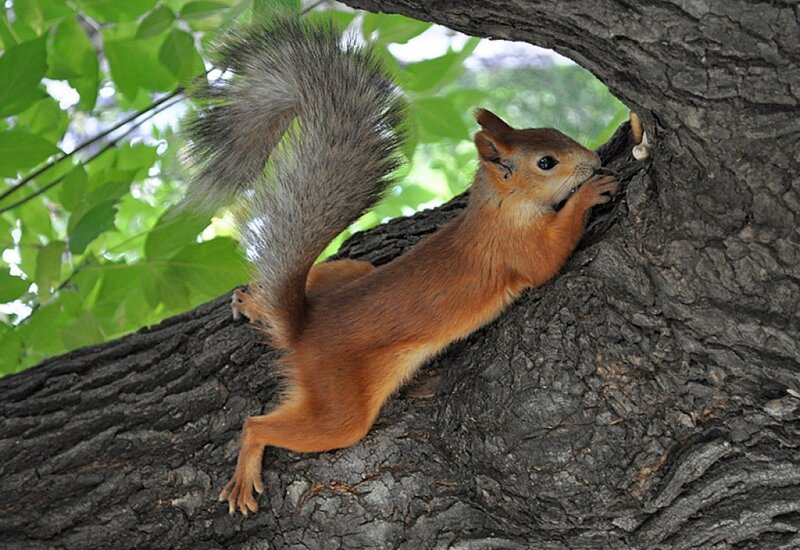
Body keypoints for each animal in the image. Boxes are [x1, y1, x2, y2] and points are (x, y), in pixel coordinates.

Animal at [186, 15, 619, 516]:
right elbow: (550, 259)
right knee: (260, 424)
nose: (593, 159)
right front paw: (589, 194)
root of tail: (304, 331)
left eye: (553, 130)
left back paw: (255, 304)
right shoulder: (516, 249)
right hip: (340, 404)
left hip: (351, 272)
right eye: (546, 162)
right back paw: (245, 471)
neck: (497, 209)